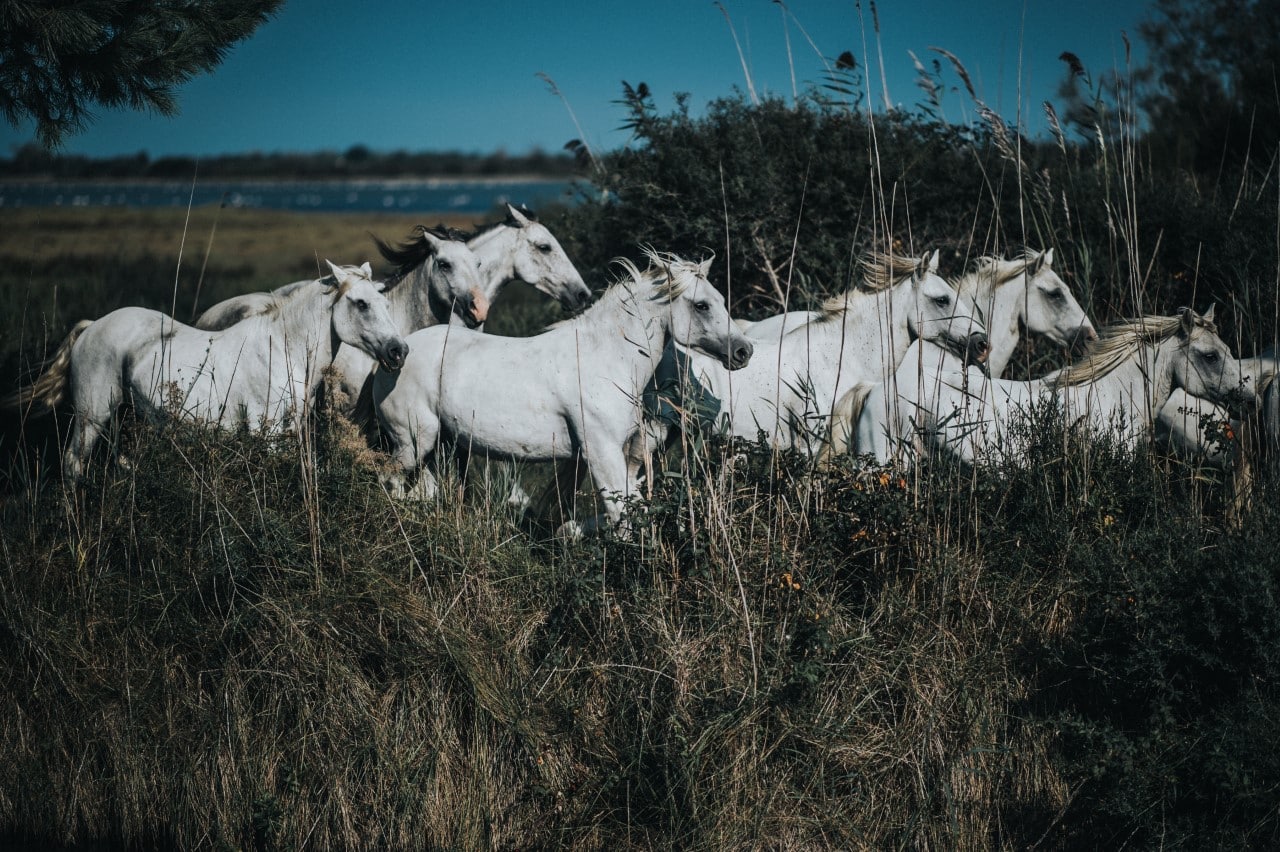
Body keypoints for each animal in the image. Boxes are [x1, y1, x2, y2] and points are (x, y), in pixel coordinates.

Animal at [5, 260, 404, 478]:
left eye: (386, 303)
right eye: (361, 303)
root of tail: (91, 327)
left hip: (124, 416)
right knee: (73, 464)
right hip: (92, 415)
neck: (281, 347)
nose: (399, 351)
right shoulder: (268, 433)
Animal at [371, 245, 752, 527]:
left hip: (436, 447)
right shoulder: (601, 453)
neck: (604, 360)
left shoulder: (624, 456)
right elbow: (621, 516)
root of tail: (395, 355)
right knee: (389, 483)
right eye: (701, 305)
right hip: (413, 442)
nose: (743, 351)